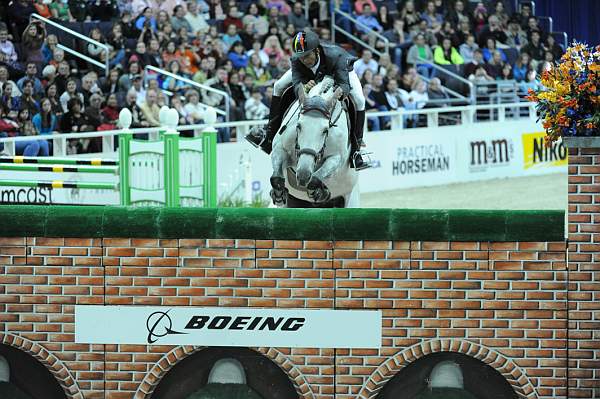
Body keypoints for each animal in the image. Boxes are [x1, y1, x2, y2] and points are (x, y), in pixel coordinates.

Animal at [270, 78, 358, 209]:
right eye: (298, 126)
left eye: (325, 130)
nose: (303, 175)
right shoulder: (279, 148)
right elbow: (276, 177)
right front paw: (278, 194)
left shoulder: (337, 158)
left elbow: (315, 179)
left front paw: (321, 193)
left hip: (350, 197)